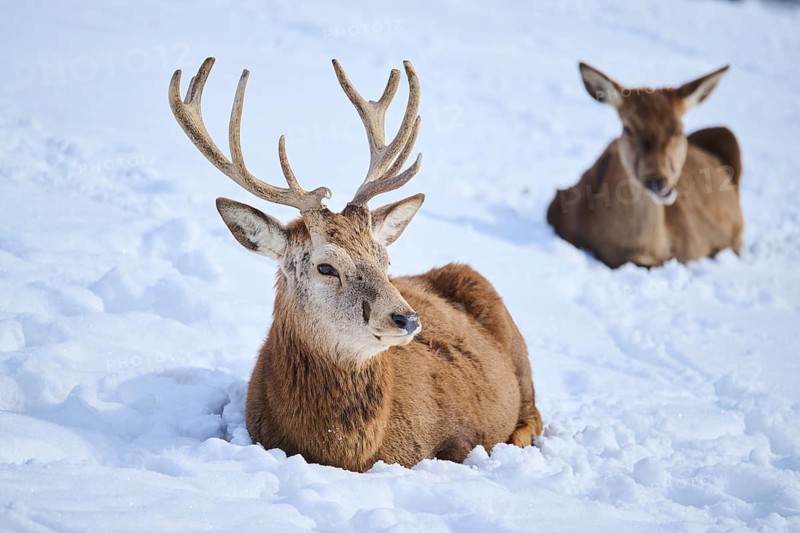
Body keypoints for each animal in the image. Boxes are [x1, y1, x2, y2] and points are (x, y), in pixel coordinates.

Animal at [169, 58, 542, 472]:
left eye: (385, 258)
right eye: (325, 267)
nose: (407, 318)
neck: (348, 451)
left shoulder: (462, 434)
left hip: (520, 360)